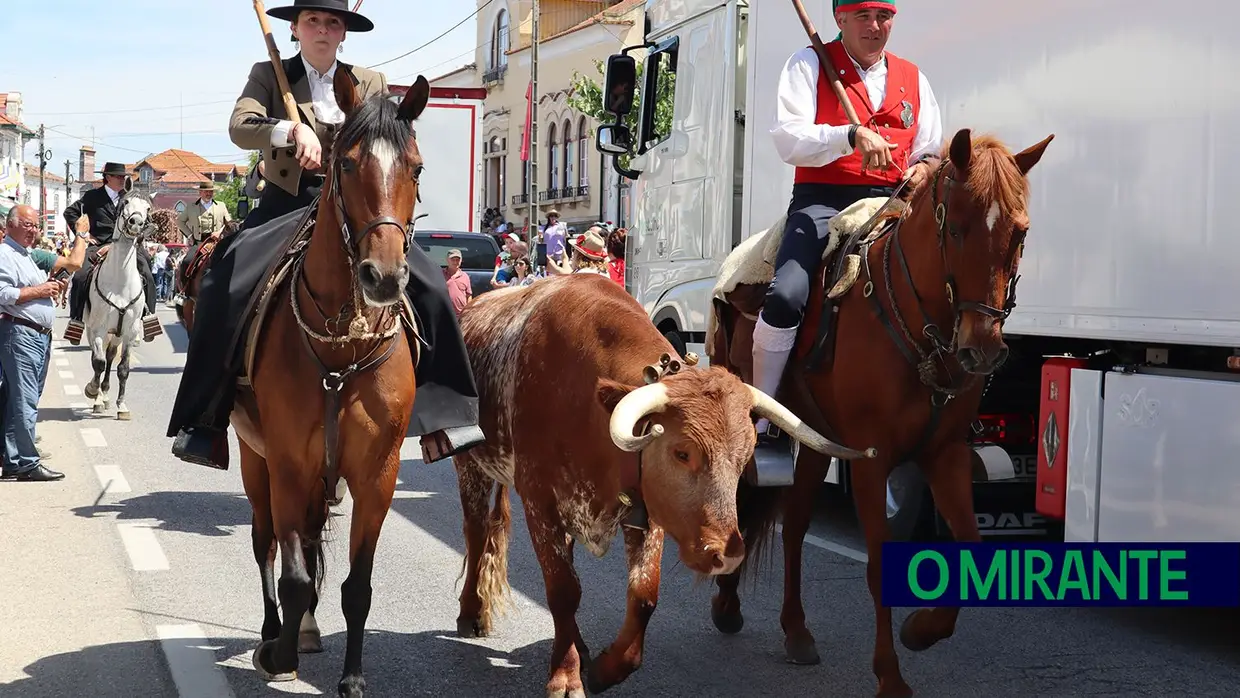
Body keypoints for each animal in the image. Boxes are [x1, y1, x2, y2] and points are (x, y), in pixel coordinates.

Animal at [83, 192, 153, 421]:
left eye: (148, 208)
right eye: (126, 203)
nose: (135, 222)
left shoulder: (130, 332)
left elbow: (123, 368)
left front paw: (121, 406)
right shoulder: (98, 329)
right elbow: (98, 363)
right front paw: (93, 393)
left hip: (117, 334)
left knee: (111, 355)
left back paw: (105, 394)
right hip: (94, 330)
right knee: (98, 358)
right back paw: (98, 394)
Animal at [229, 73, 431, 694]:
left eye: (416, 168)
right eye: (345, 163)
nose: (383, 277)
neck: (344, 346)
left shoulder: (377, 475)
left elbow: (357, 588)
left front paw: (353, 679)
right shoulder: (288, 464)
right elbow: (293, 574)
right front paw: (277, 654)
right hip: (254, 459)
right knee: (265, 543)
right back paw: (277, 631)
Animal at [453, 276, 872, 694]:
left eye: (746, 455)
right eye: (682, 452)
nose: (727, 554)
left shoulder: (646, 510)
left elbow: (644, 595)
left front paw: (607, 667)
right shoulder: (540, 504)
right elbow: (563, 591)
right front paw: (566, 675)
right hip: (469, 465)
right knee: (476, 533)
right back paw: (471, 614)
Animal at [714, 128, 1051, 694]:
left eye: (1019, 233)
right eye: (955, 229)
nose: (982, 350)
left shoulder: (945, 454)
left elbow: (970, 545)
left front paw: (921, 630)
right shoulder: (872, 460)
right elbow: (877, 564)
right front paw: (890, 674)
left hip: (815, 441)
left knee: (796, 523)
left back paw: (796, 630)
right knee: (737, 503)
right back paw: (727, 605)